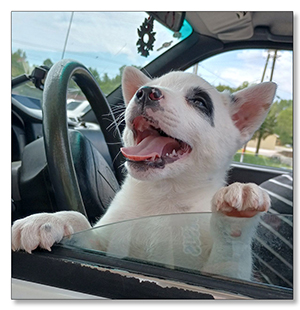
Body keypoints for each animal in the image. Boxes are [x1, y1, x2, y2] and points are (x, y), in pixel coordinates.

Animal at [11, 66, 276, 280]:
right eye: (143, 89)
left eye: (200, 102)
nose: (146, 92)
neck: (162, 198)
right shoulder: (101, 247)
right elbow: (80, 220)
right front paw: (48, 220)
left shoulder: (222, 272)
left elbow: (230, 254)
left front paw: (237, 213)